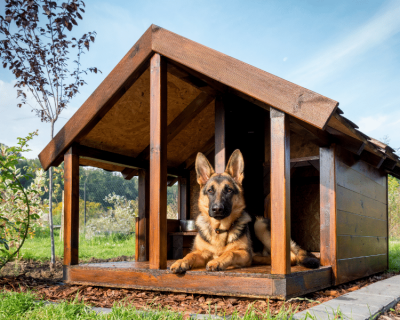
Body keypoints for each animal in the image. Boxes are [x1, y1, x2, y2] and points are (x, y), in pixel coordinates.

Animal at [169, 149, 318, 272]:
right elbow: (190, 254)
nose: (217, 209)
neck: (220, 230)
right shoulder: (201, 252)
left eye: (228, 190)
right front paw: (180, 261)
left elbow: (230, 252)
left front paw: (217, 261)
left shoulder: (242, 252)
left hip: (260, 225)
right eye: (210, 191)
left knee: (291, 257)